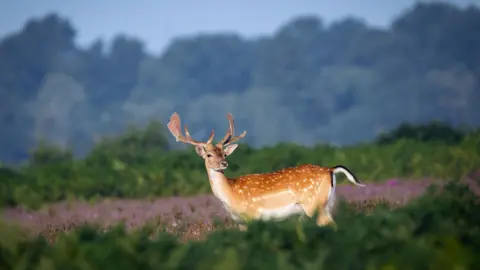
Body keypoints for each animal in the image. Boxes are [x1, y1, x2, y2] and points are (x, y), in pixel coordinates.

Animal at [167, 112, 366, 230]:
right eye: (209, 154)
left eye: (223, 152)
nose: (224, 163)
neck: (231, 195)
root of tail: (330, 169)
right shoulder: (240, 222)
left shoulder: (253, 216)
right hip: (327, 204)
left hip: (314, 205)